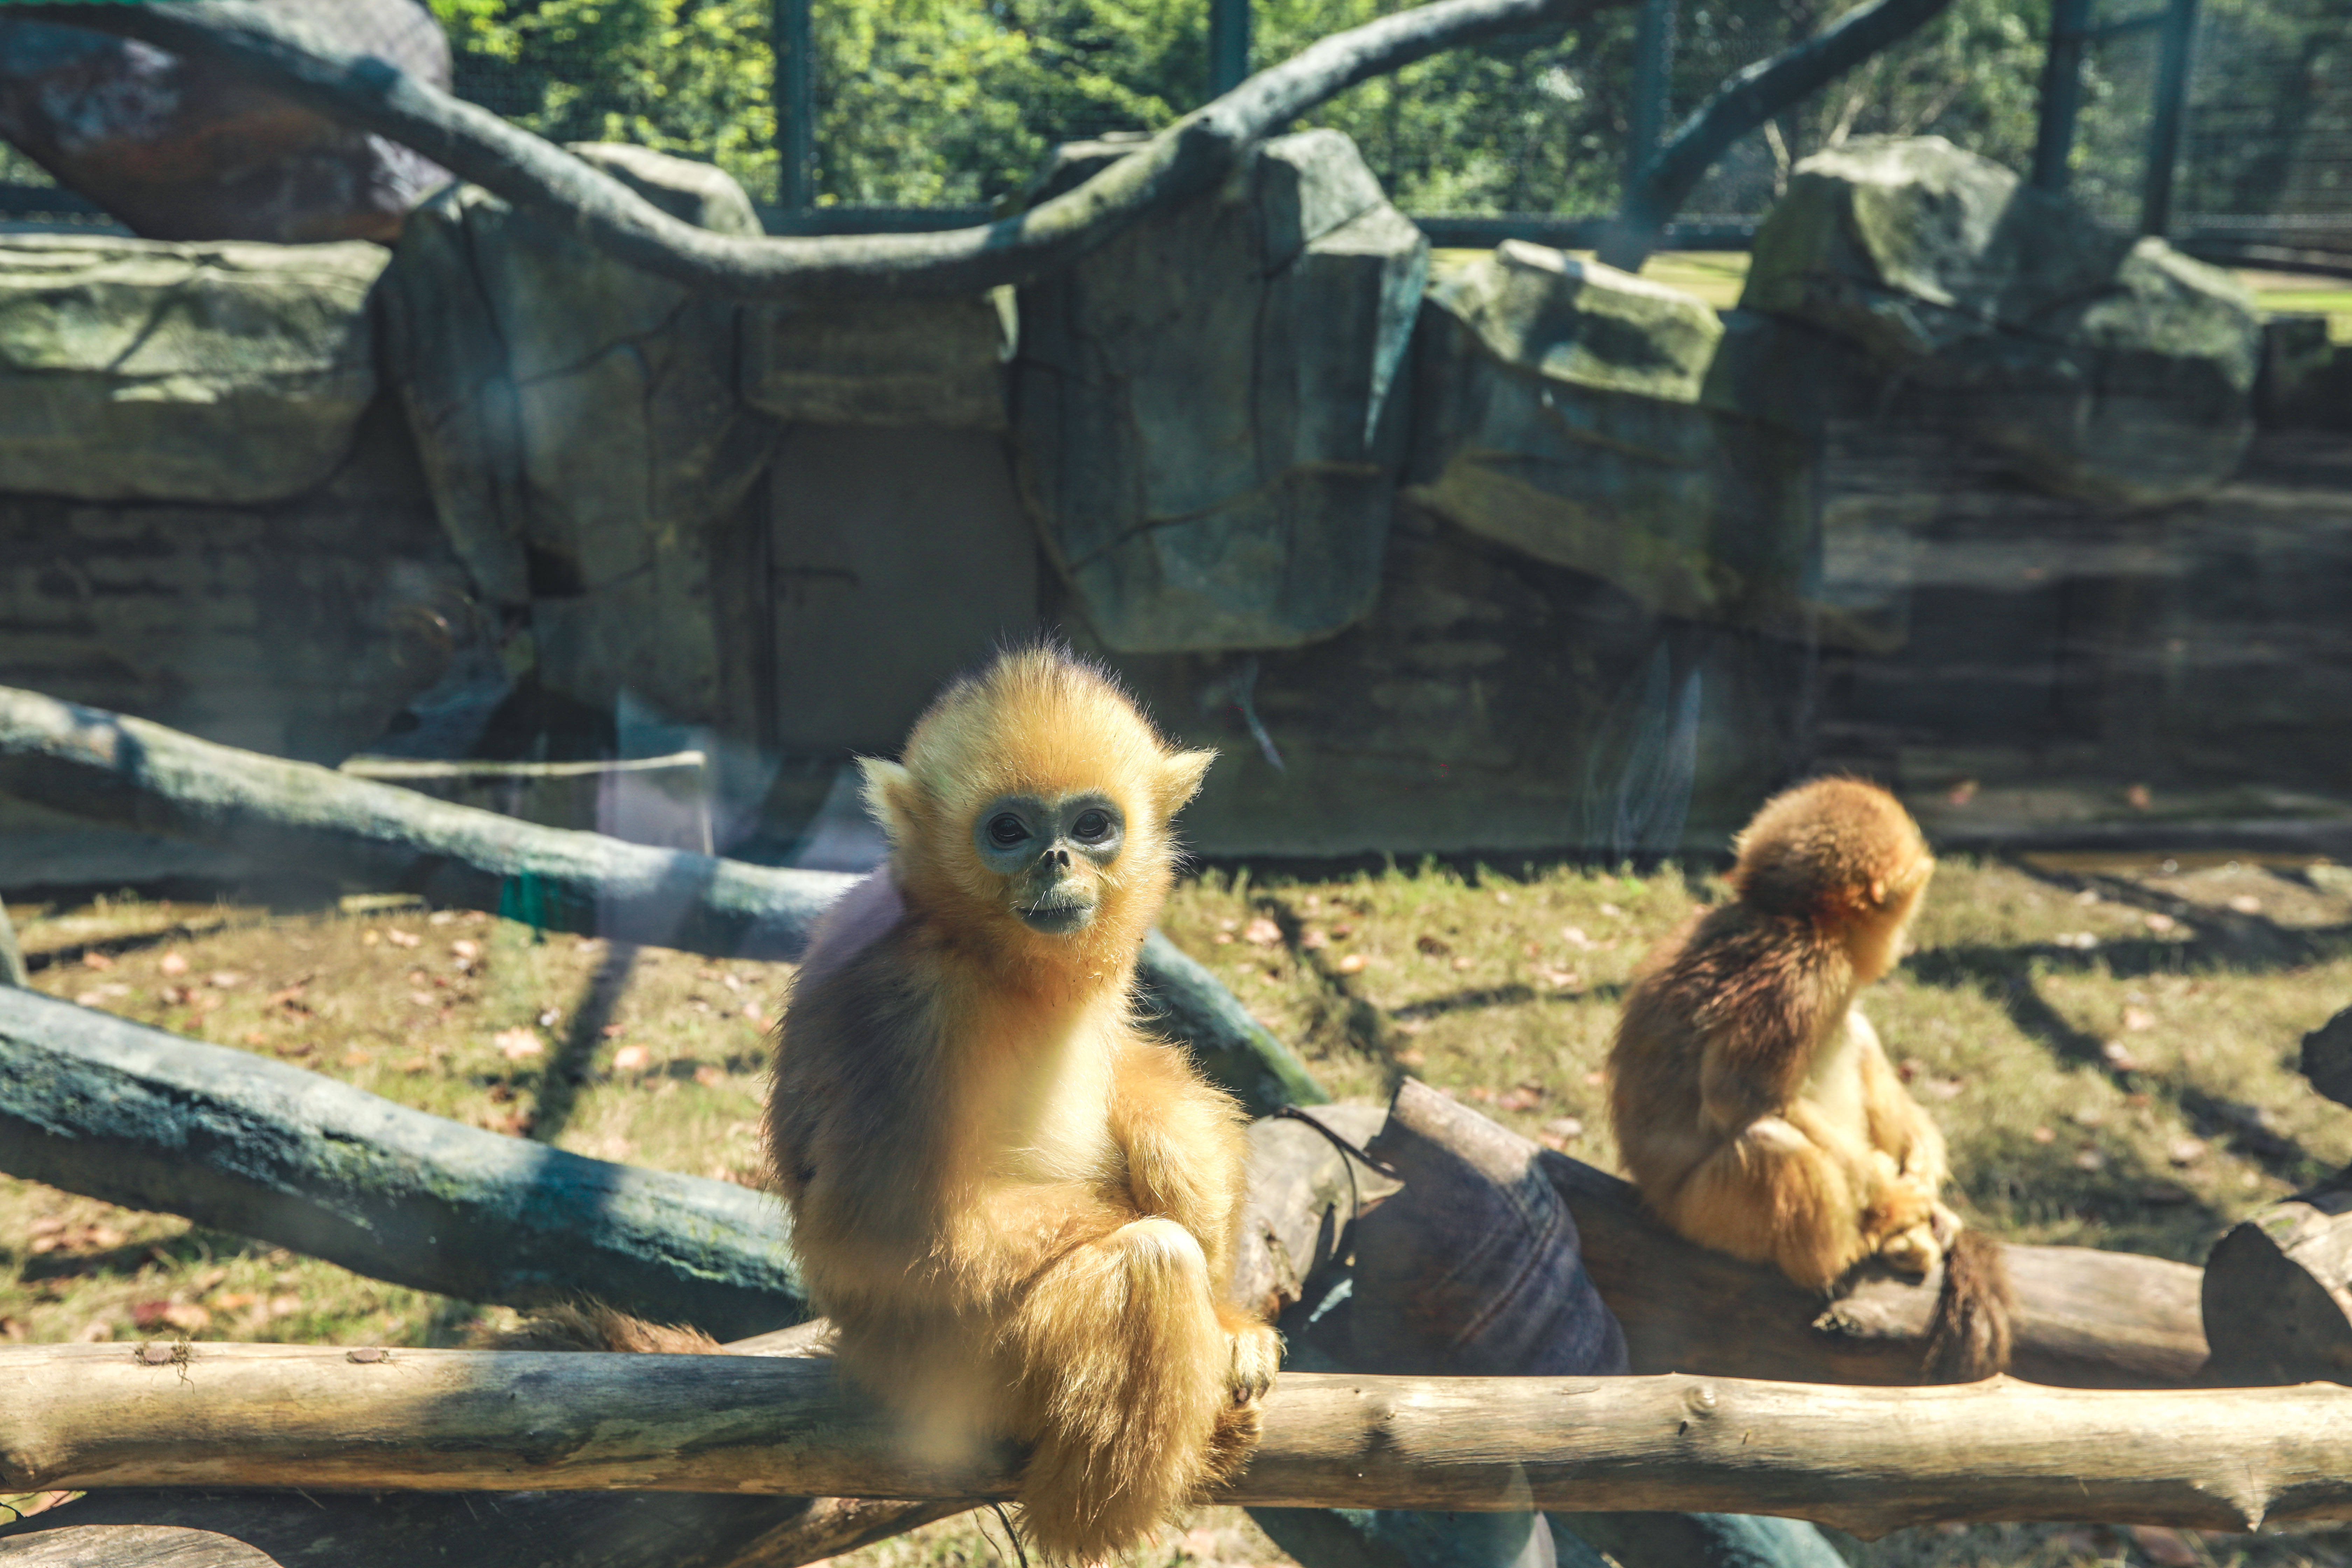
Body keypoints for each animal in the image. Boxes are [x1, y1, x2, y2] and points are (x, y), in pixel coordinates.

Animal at [766, 644, 1279, 1561]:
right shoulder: (905, 1005)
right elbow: (874, 1233)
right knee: (1153, 1261)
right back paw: (1094, 1514)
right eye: (1009, 832)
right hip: (956, 1371)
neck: (990, 957)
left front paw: (1227, 1309)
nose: (1057, 863)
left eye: (1091, 826)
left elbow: (1150, 1098)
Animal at [1609, 780, 2013, 1382]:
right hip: (1703, 1217)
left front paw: (1923, 1174)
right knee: (1769, 1140)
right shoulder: (1808, 976)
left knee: (1853, 1035)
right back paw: (1862, 1241)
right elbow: (1737, 1097)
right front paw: (1895, 1198)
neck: (1795, 919)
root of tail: (1651, 1201)